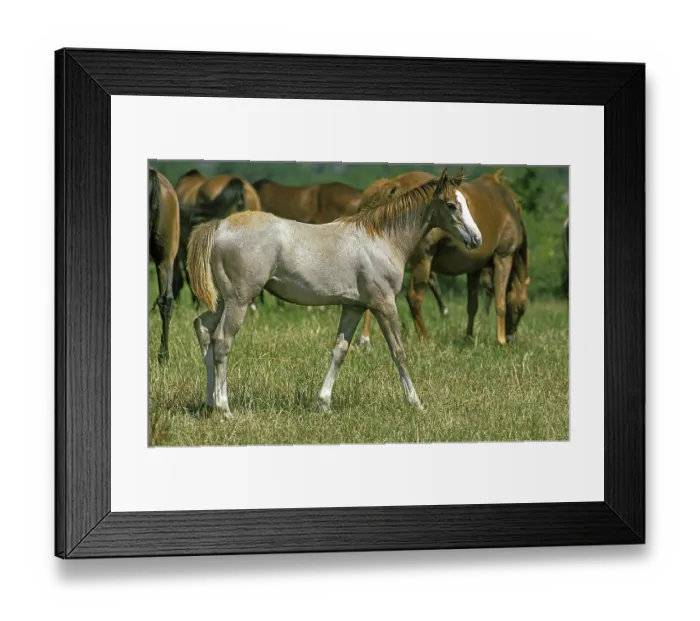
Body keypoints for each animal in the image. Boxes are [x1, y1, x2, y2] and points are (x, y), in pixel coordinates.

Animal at [186, 169, 481, 416]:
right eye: (451, 205)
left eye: (467, 203)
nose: (476, 239)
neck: (381, 238)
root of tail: (219, 226)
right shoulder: (384, 305)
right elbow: (399, 352)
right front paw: (416, 403)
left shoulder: (354, 307)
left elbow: (339, 352)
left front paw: (324, 404)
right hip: (240, 301)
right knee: (222, 341)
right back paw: (224, 409)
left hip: (222, 302)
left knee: (203, 329)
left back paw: (210, 403)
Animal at [406, 169, 530, 345]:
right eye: (519, 309)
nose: (510, 338)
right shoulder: (504, 258)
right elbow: (500, 303)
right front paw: (500, 342)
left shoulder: (474, 269)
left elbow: (472, 306)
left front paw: (469, 338)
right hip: (422, 262)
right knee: (414, 298)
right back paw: (424, 339)